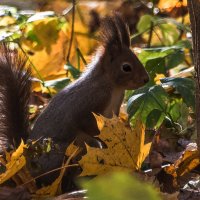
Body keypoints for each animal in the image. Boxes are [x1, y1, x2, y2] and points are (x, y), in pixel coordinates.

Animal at [0, 14, 148, 186]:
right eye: (126, 67)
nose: (146, 79)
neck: (113, 86)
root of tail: (25, 158)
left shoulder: (114, 109)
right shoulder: (90, 102)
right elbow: (87, 123)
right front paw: (106, 141)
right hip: (60, 152)